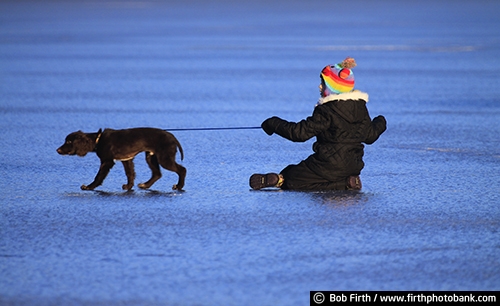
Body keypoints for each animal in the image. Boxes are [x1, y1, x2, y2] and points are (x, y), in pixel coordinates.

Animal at [57, 127, 186, 190]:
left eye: (69, 142)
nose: (57, 150)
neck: (98, 140)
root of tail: (173, 137)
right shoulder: (126, 159)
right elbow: (130, 174)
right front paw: (129, 186)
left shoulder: (107, 161)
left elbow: (99, 176)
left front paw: (89, 187)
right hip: (151, 156)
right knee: (157, 174)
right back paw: (145, 185)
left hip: (164, 158)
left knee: (182, 170)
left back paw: (179, 186)